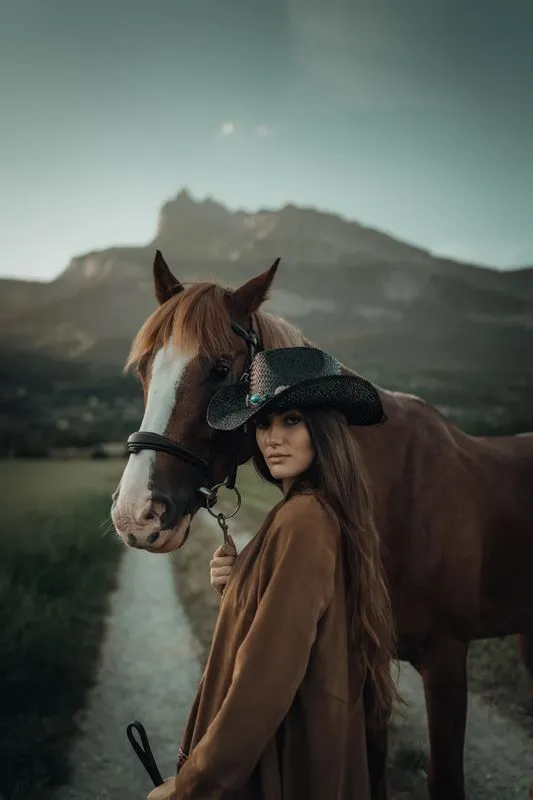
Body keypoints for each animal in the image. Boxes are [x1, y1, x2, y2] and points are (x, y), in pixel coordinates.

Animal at [110, 250, 532, 800]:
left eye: (220, 368)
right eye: (144, 369)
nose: (136, 513)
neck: (395, 490)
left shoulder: (446, 661)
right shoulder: (370, 663)